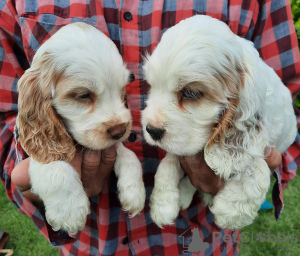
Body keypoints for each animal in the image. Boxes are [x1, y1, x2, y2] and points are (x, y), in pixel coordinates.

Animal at [17, 22, 146, 234]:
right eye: (84, 95)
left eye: (121, 90)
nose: (120, 131)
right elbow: (55, 165)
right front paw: (69, 211)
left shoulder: (113, 144)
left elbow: (129, 156)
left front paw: (135, 193)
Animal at [142, 15, 298, 230]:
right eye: (152, 86)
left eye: (191, 93)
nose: (151, 130)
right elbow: (169, 161)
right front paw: (162, 204)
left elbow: (257, 163)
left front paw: (231, 211)